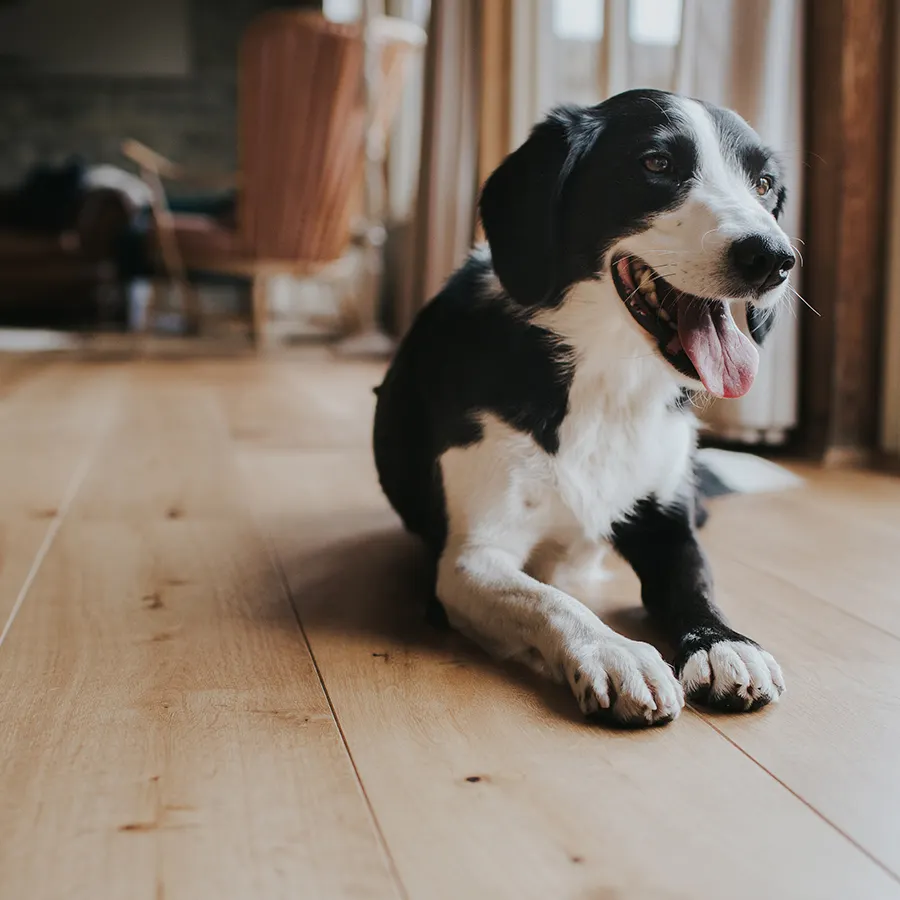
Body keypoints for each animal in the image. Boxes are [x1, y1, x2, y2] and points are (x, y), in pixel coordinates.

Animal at [372, 89, 796, 724]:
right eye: (656, 163)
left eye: (765, 184)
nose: (773, 257)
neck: (606, 382)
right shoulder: (470, 560)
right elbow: (550, 600)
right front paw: (614, 652)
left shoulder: (666, 523)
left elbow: (694, 582)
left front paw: (724, 643)